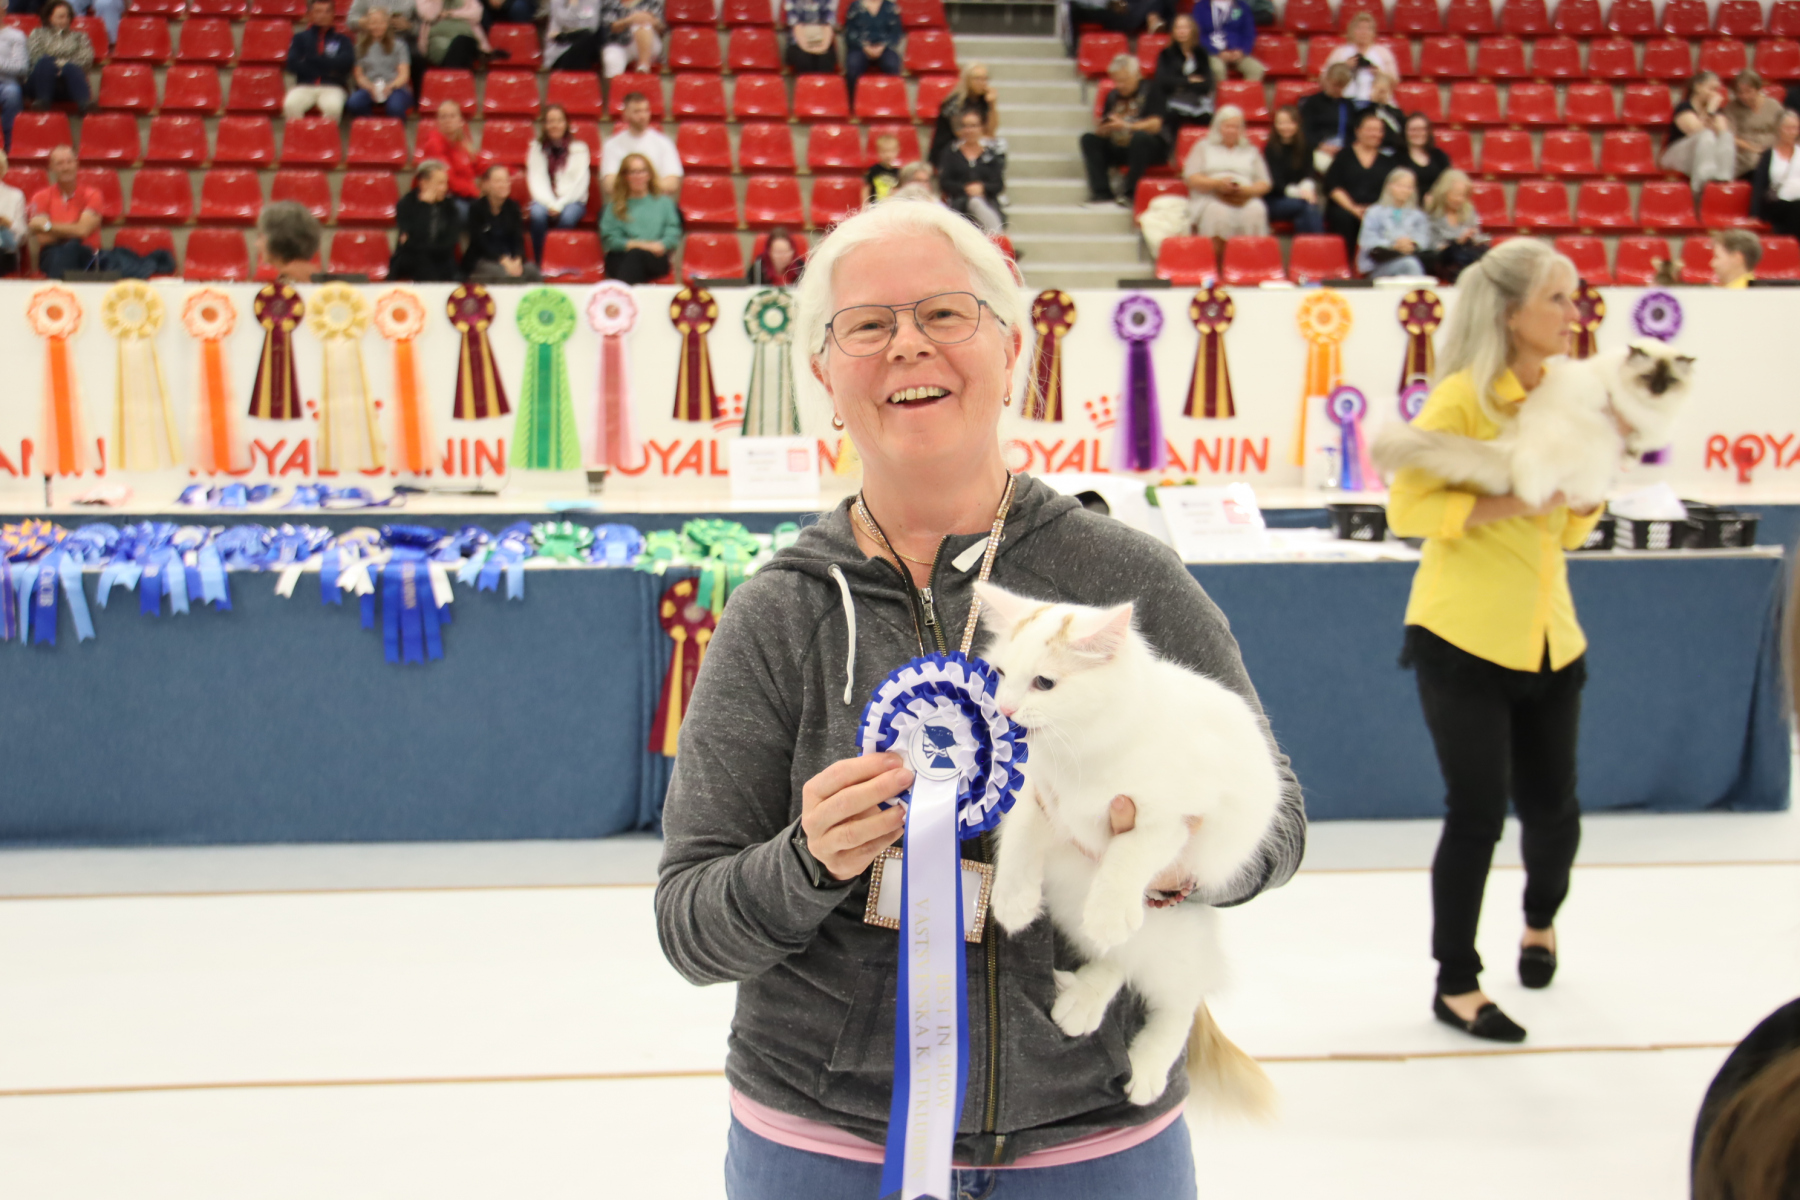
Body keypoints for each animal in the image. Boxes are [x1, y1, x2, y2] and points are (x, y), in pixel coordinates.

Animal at [975, 582, 1282, 1115]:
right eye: (999, 675)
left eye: (1044, 683)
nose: (1006, 712)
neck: (1078, 752)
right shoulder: (1035, 792)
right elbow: (1020, 840)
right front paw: (1013, 901)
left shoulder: (1169, 817)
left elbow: (1126, 857)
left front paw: (1108, 908)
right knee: (1119, 960)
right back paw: (1084, 999)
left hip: (1175, 945)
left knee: (1177, 999)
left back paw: (1148, 1066)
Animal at [1370, 340, 1696, 511]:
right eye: (1647, 378)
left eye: (1669, 381)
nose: (1657, 390)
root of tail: (1515, 447)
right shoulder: (1630, 421)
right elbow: (1635, 444)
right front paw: (1628, 462)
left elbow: (1638, 446)